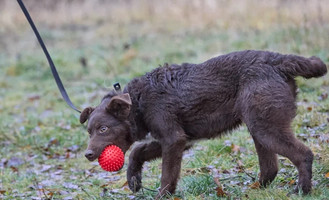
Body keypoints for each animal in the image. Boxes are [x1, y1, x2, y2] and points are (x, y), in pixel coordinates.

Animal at [79, 49, 326, 197]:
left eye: (103, 129)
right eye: (89, 131)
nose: (88, 155)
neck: (140, 99)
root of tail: (278, 60)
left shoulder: (173, 140)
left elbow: (166, 175)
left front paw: (161, 195)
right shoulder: (180, 139)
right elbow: (138, 151)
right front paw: (134, 180)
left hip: (265, 127)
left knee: (303, 154)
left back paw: (302, 191)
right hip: (260, 126)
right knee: (270, 168)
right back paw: (256, 189)